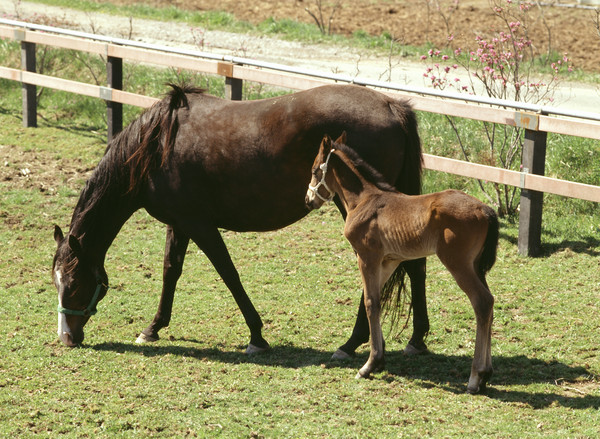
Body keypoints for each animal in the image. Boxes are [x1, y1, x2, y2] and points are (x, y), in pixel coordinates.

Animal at [51, 83, 426, 360]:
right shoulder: (179, 223)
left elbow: (228, 274)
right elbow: (171, 270)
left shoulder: (200, 225)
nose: (67, 338)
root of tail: (392, 106)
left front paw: (256, 336)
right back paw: (415, 339)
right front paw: (153, 328)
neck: (157, 147)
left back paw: (351, 344)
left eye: (75, 282)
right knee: (416, 265)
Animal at [304, 132, 496, 394]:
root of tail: (486, 209)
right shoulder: (389, 261)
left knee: (482, 302)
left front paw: (369, 365)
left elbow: (371, 302)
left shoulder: (367, 257)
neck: (364, 200)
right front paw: (378, 359)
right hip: (476, 266)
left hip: (458, 264)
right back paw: (486, 374)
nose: (308, 200)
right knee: (490, 303)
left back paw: (476, 377)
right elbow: (374, 300)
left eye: (315, 170)